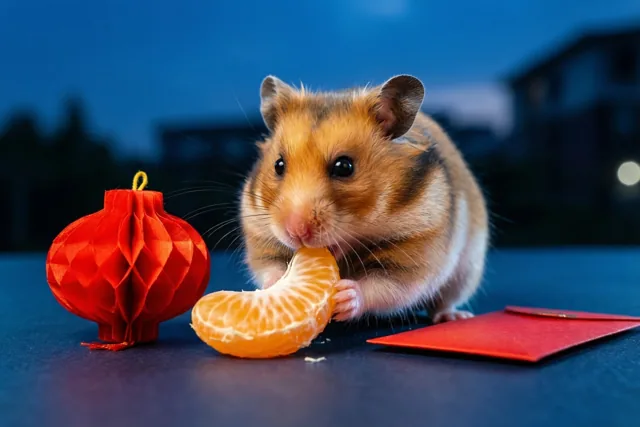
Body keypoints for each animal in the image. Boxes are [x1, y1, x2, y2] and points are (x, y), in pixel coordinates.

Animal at [239, 74, 489, 323]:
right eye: (278, 165)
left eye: (344, 167)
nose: (295, 232)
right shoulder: (260, 235)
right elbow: (269, 268)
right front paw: (276, 286)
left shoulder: (416, 250)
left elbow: (387, 287)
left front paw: (345, 296)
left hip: (466, 272)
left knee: (443, 302)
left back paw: (455, 316)